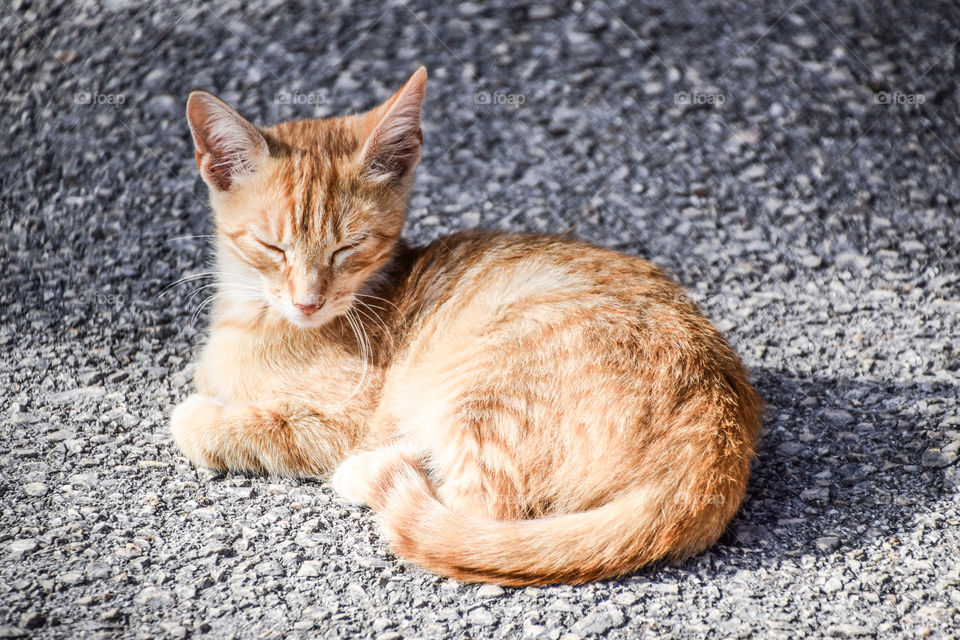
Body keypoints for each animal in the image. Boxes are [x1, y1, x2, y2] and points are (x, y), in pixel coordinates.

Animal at [169, 66, 760, 584]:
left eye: (349, 247)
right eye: (271, 246)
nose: (308, 302)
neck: (253, 317)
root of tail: (718, 429)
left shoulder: (342, 421)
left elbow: (220, 425)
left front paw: (202, 416)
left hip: (486, 383)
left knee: (485, 510)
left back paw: (376, 471)